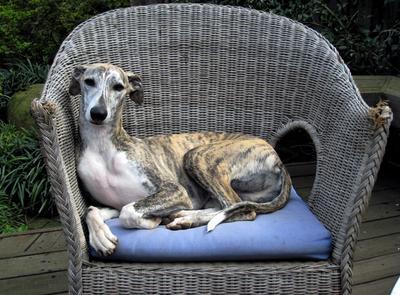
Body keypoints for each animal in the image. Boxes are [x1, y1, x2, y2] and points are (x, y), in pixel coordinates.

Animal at [70, 63, 292, 256]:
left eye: (118, 86)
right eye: (89, 81)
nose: (98, 114)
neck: (103, 148)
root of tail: (278, 161)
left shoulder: (174, 191)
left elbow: (128, 211)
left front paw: (152, 220)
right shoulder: (113, 204)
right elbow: (90, 210)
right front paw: (100, 238)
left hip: (197, 156)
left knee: (240, 209)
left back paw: (182, 217)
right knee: (233, 206)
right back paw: (183, 218)